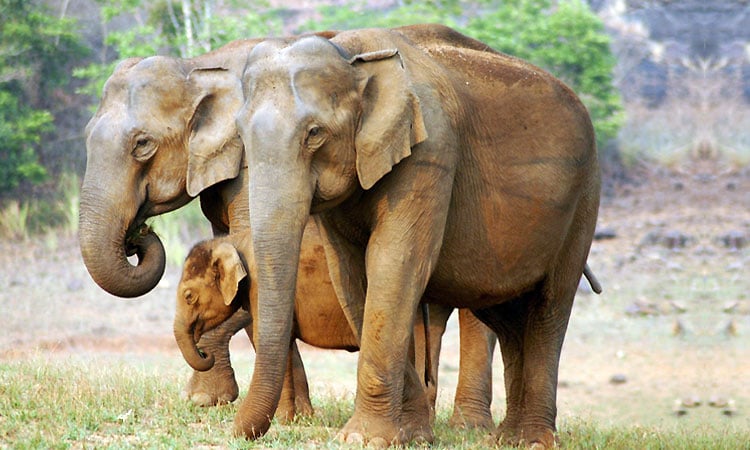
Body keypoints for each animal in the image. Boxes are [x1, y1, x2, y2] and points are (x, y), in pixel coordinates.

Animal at [228, 24, 600, 448]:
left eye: (315, 134)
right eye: (240, 134)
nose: (238, 432)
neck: (351, 55)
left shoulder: (430, 152)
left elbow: (394, 264)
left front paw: (363, 439)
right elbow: (352, 275)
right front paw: (414, 434)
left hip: (584, 199)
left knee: (549, 307)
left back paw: (531, 440)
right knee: (508, 318)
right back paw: (506, 438)